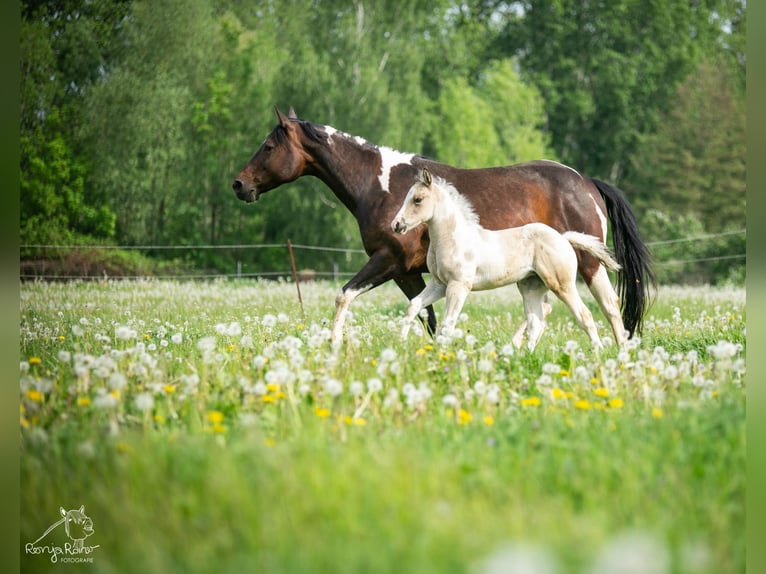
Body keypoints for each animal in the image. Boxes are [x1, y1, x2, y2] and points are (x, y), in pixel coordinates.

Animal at [392, 169, 621, 350]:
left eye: (417, 199)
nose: (396, 225)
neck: (453, 238)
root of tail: (564, 238)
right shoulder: (439, 284)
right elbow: (414, 306)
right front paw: (401, 343)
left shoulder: (459, 285)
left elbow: (448, 324)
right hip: (531, 287)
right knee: (536, 323)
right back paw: (525, 357)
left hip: (562, 285)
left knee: (585, 315)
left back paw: (598, 352)